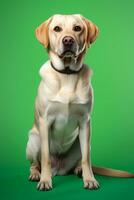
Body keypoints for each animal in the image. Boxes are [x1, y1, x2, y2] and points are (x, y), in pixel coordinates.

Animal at [26, 14, 134, 191]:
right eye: (57, 29)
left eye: (77, 28)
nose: (68, 40)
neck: (67, 74)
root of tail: (59, 169)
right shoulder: (45, 122)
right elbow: (46, 157)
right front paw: (45, 181)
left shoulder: (85, 122)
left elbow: (86, 159)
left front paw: (89, 179)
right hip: (33, 140)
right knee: (36, 163)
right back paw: (36, 174)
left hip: (83, 142)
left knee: (81, 158)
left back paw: (78, 170)